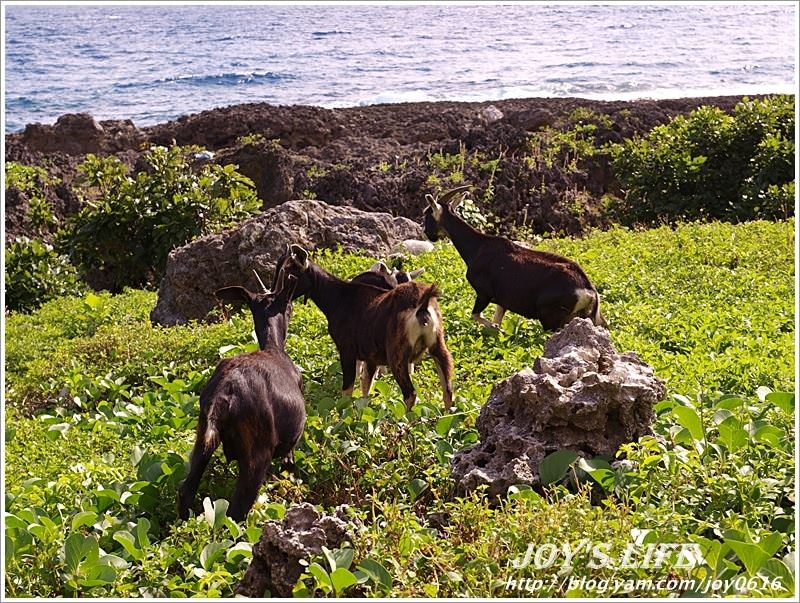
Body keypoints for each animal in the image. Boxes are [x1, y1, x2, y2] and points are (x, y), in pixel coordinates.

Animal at [178, 270, 306, 524]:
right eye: (290, 306)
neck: (275, 348)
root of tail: (222, 395)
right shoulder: (289, 445)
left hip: (202, 438)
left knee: (186, 489)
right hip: (258, 451)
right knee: (237, 509)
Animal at [272, 245, 454, 410]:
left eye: (289, 273)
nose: (273, 294)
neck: (338, 298)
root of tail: (423, 305)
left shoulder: (347, 350)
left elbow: (347, 389)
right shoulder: (371, 354)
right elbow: (366, 385)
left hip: (397, 354)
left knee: (410, 394)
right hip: (438, 345)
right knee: (448, 390)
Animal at [422, 188, 604, 332]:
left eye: (427, 214)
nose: (428, 235)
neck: (478, 246)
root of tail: (589, 291)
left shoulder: (484, 293)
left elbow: (478, 317)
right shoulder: (502, 301)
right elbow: (496, 322)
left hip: (550, 318)